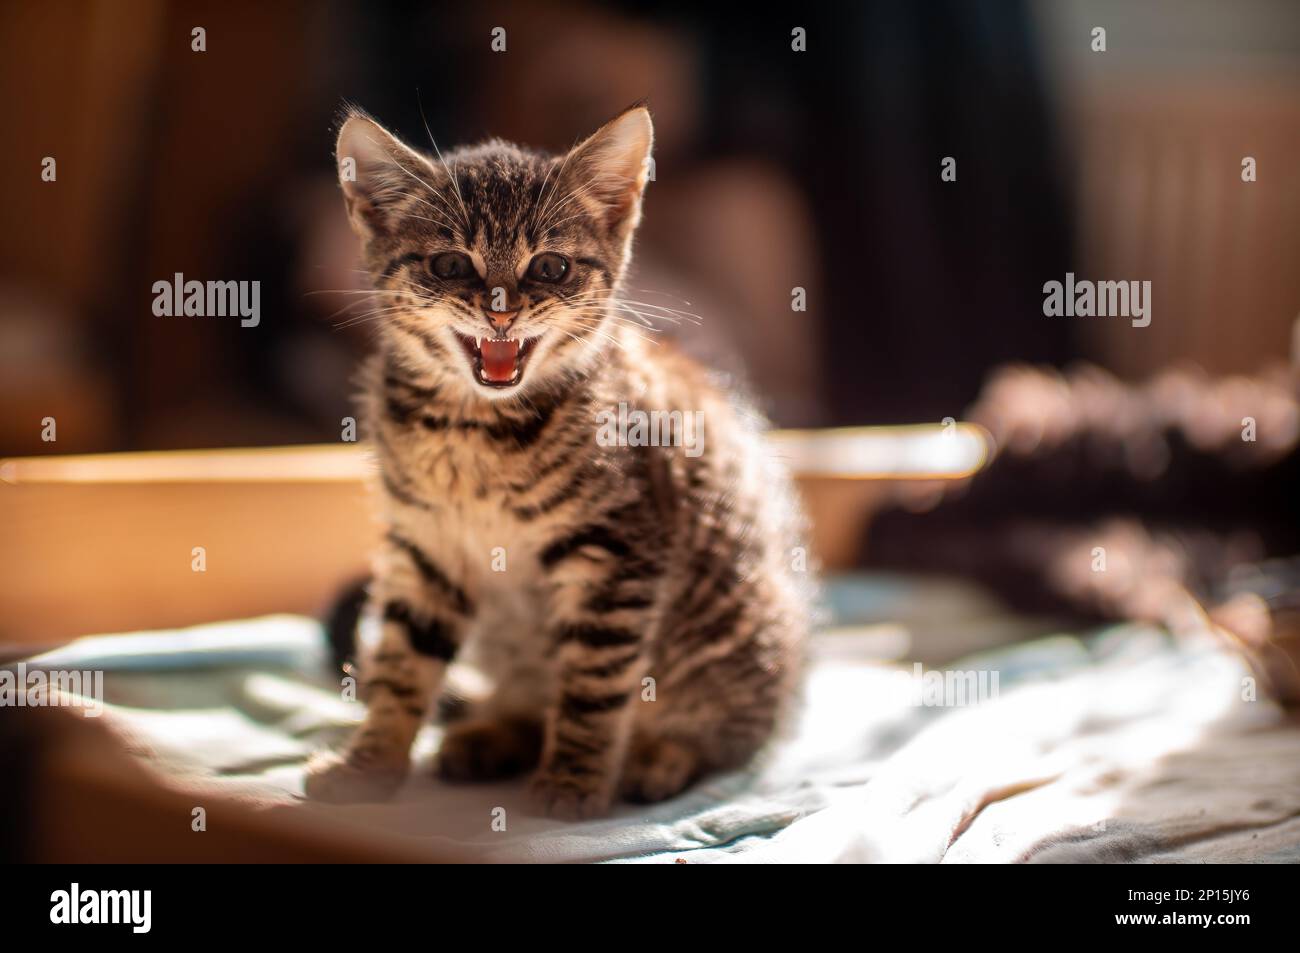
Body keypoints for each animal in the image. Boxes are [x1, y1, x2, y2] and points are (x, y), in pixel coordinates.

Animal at [306, 105, 811, 816]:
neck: (474, 429)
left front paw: (572, 782)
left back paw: (657, 757)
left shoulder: (620, 554)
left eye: (549, 268)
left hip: (742, 630)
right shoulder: (426, 549)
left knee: (729, 739)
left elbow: (594, 686)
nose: (501, 311)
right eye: (449, 264)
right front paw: (368, 766)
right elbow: (401, 663)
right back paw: (493, 734)